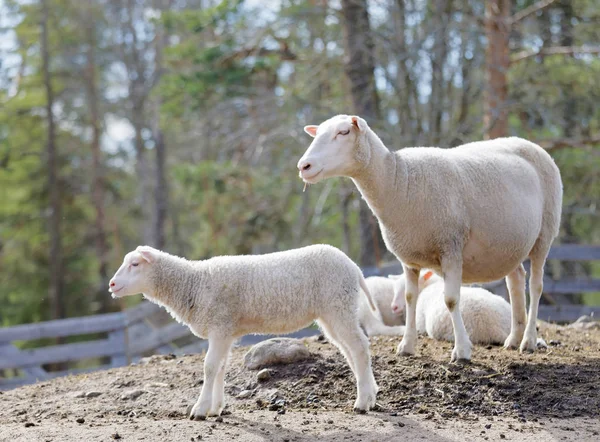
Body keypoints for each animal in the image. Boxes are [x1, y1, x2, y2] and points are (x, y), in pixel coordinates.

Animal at [107, 243, 378, 420]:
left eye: (134, 264)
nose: (111, 284)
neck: (194, 283)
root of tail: (353, 267)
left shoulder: (219, 326)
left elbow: (209, 367)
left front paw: (200, 410)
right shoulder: (225, 331)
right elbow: (220, 367)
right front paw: (215, 408)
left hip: (338, 305)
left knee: (359, 347)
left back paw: (362, 402)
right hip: (332, 312)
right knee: (350, 350)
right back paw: (370, 394)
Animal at [298, 115, 564, 362]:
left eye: (343, 132)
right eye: (317, 134)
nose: (304, 166)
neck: (398, 181)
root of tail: (530, 144)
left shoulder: (451, 246)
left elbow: (451, 300)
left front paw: (462, 351)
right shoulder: (409, 257)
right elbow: (409, 298)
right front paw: (406, 346)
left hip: (545, 233)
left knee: (536, 286)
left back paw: (528, 341)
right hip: (509, 246)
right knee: (516, 281)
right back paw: (513, 338)